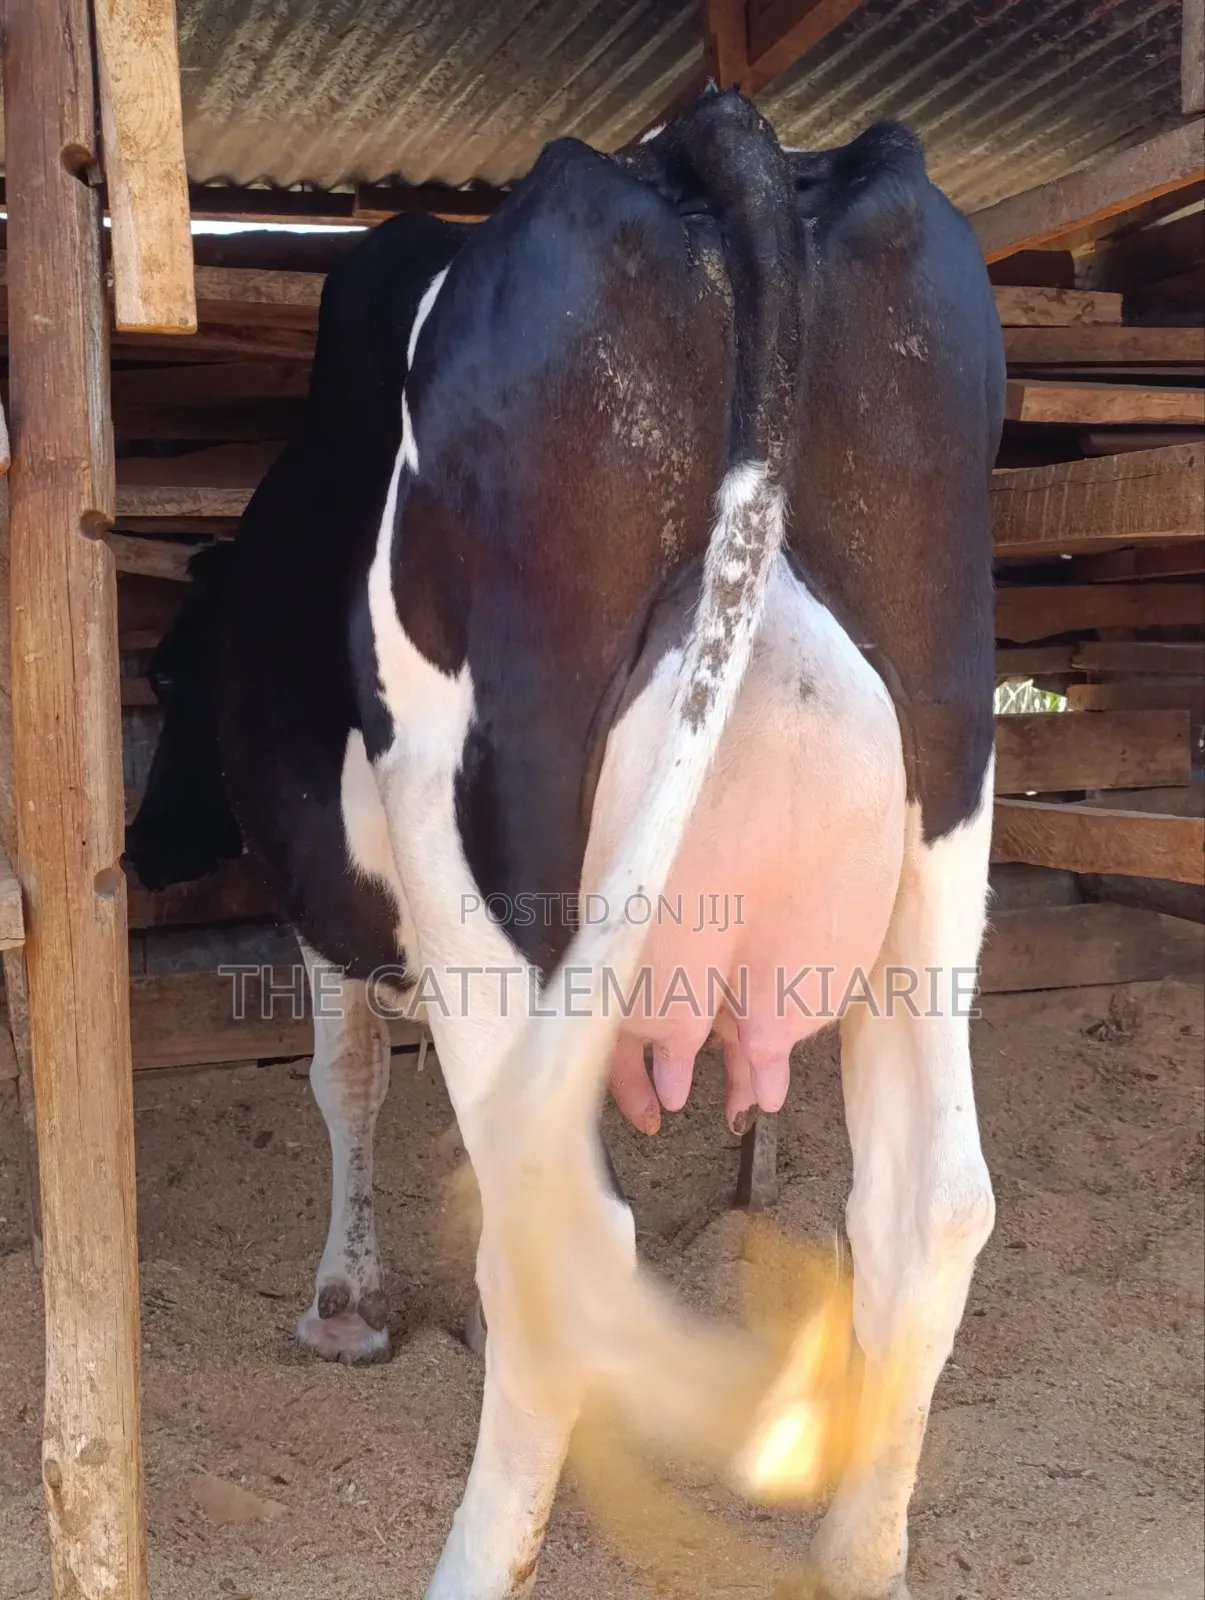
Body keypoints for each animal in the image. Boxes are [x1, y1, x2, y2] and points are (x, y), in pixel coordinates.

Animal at [126, 88, 1005, 1599]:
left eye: (169, 679)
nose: (138, 852)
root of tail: (707, 136)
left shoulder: (331, 899)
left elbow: (344, 1077)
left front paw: (344, 1305)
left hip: (479, 818)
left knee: (558, 1216)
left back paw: (476, 1556)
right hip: (943, 792)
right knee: (928, 1200)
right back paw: (853, 1551)